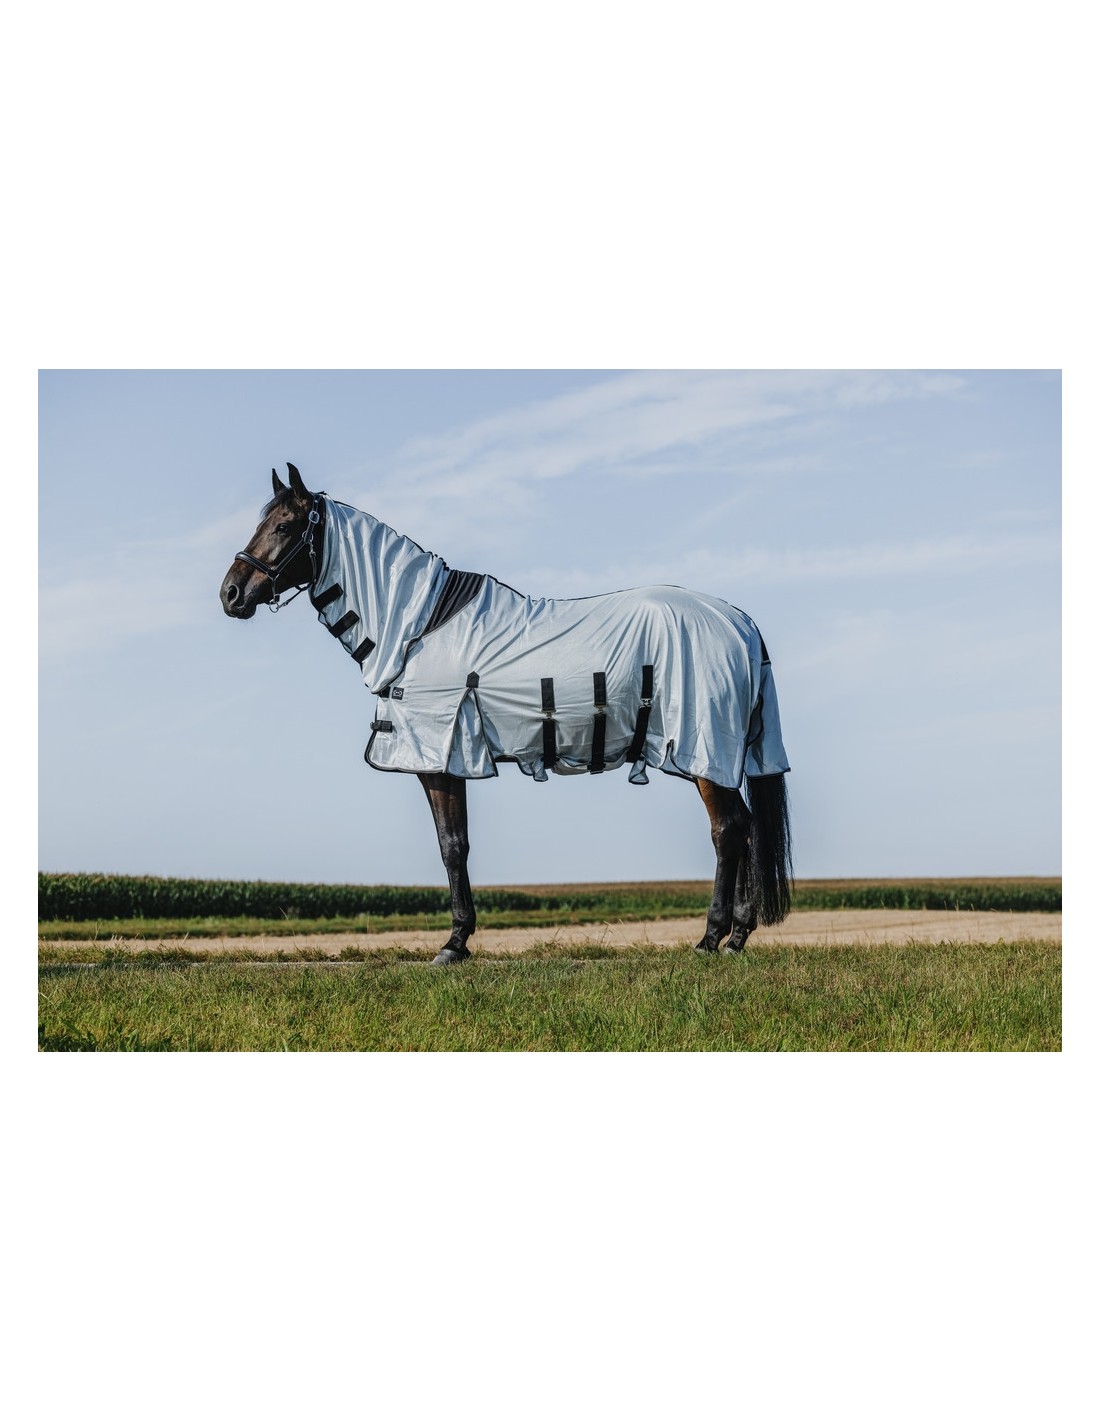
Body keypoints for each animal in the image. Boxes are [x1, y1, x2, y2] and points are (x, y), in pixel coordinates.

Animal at [220, 463, 793, 965]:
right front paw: (460, 939)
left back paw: (712, 939)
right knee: (743, 827)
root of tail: (738, 621)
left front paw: (454, 944)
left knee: (727, 831)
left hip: (702, 751)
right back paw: (738, 936)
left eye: (284, 525)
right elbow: (457, 845)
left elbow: (452, 847)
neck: (419, 626)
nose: (231, 593)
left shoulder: (439, 758)